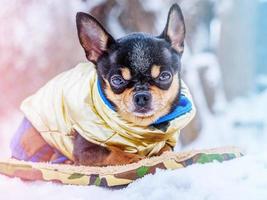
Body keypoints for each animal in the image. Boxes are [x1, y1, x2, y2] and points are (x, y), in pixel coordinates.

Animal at [11, 3, 195, 166]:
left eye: (164, 76)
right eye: (117, 80)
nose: (142, 96)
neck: (140, 128)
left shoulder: (166, 143)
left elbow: (165, 150)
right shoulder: (86, 150)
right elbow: (114, 152)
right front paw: (134, 158)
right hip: (33, 136)